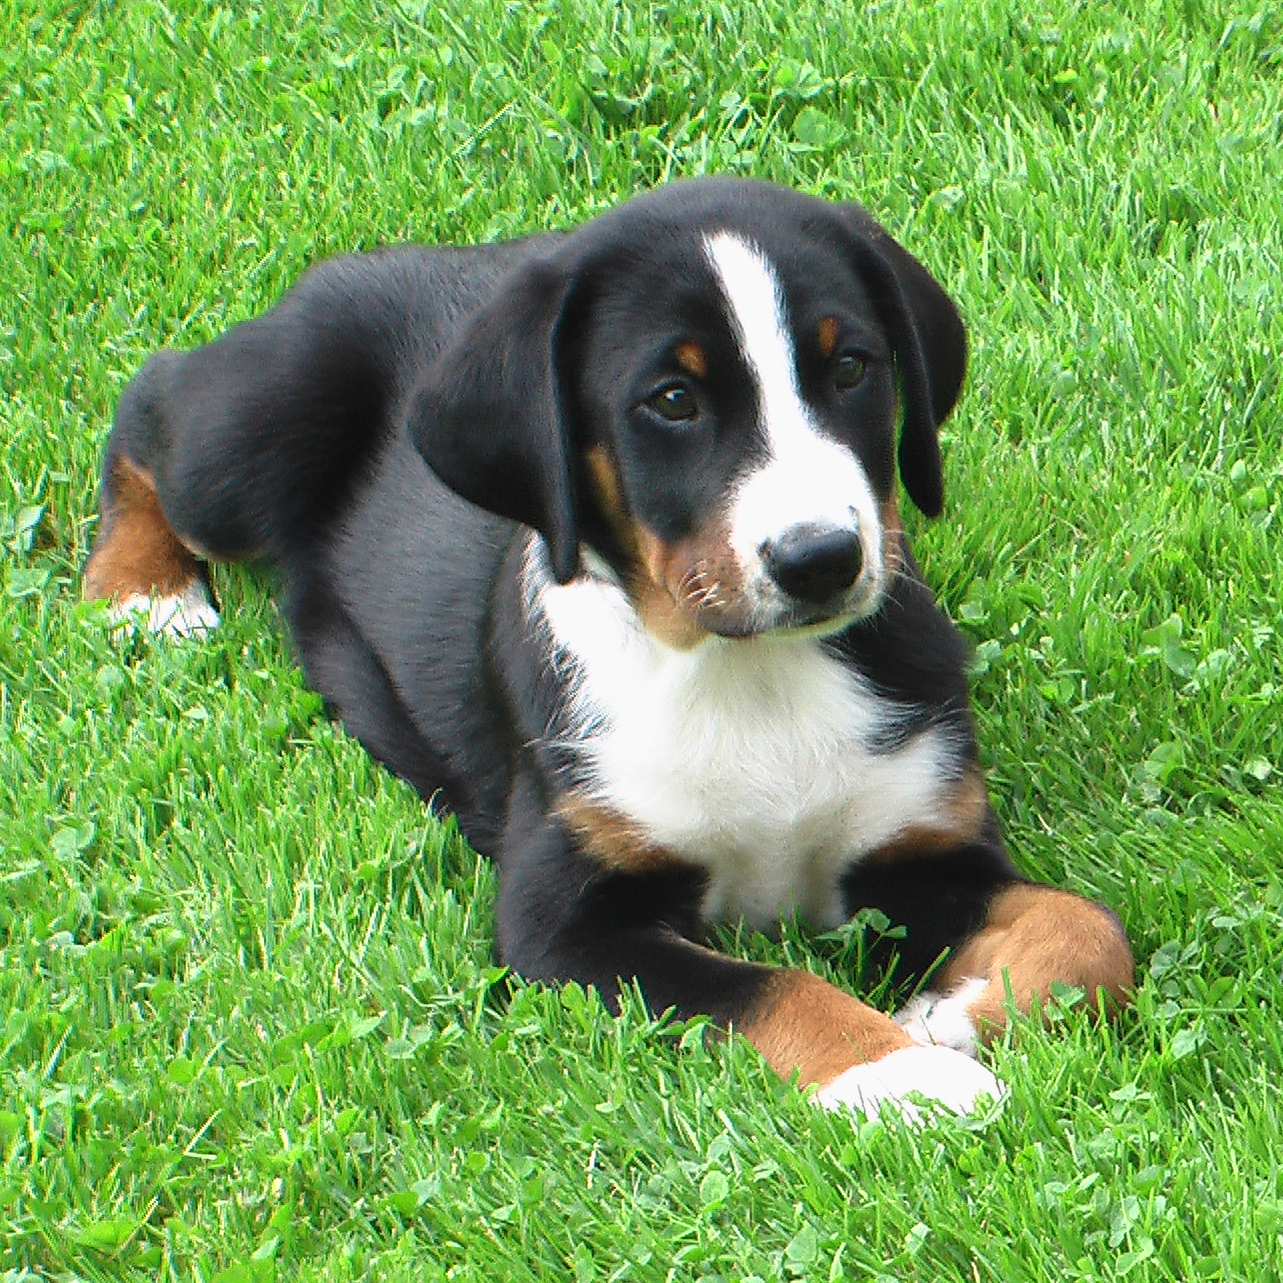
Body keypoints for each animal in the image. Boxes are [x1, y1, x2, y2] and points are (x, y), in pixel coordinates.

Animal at [82, 175, 1134, 1118]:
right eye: (671, 399)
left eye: (850, 369)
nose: (820, 559)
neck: (746, 674)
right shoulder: (567, 923)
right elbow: (765, 984)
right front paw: (899, 1073)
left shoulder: (921, 842)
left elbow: (1089, 926)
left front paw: (960, 1010)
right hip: (253, 438)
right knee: (150, 402)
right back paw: (143, 590)